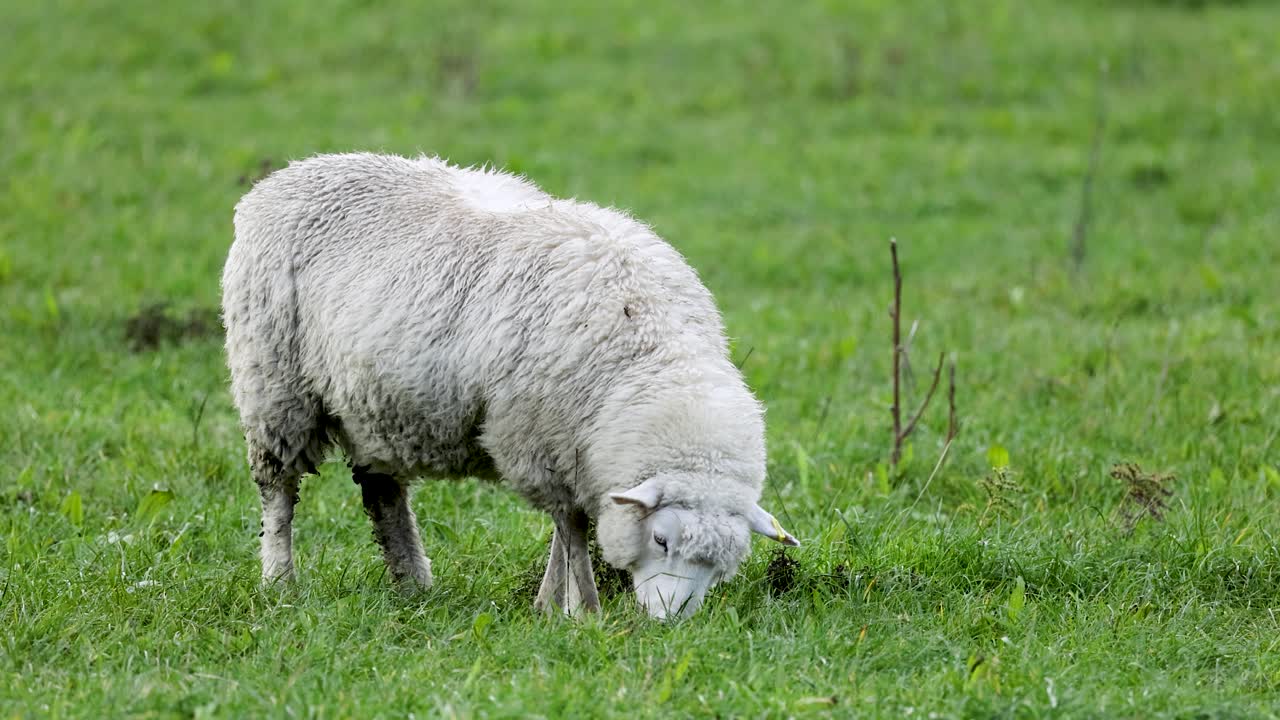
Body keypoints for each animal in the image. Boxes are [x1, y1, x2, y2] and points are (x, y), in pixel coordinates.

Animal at [220, 152, 799, 619]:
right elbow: (572, 527)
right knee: (278, 491)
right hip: (273, 385)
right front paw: (581, 610)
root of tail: (289, 173)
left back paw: (412, 583)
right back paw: (280, 581)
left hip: (372, 404)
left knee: (383, 492)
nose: (669, 622)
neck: (651, 351)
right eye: (660, 538)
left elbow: (566, 529)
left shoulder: (573, 448)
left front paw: (550, 603)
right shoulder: (541, 438)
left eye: (723, 566)